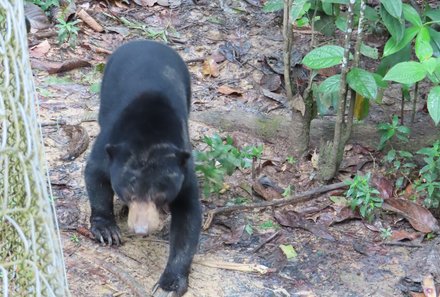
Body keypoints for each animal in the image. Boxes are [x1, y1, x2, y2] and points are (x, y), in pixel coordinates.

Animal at [85, 40, 202, 296]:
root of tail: (147, 41)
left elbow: (188, 215)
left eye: (160, 195)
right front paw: (108, 231)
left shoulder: (184, 166)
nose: (141, 230)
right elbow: (95, 173)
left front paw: (170, 284)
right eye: (128, 192)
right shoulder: (110, 142)